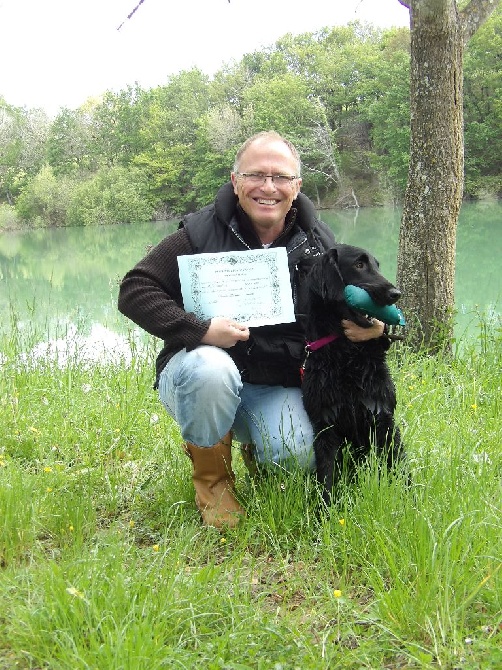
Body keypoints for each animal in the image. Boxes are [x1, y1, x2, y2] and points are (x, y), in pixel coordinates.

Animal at [300, 245, 406, 504]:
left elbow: (399, 469)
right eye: (359, 265)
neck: (348, 355)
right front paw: (324, 511)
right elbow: (326, 478)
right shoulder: (325, 426)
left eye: (377, 265)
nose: (396, 293)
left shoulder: (383, 416)